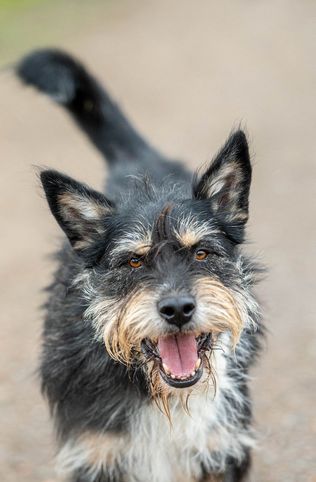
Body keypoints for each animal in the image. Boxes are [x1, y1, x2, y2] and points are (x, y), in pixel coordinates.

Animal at [17, 50, 264, 482]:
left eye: (201, 253)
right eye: (133, 260)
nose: (178, 309)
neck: (163, 394)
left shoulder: (219, 445)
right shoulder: (98, 452)